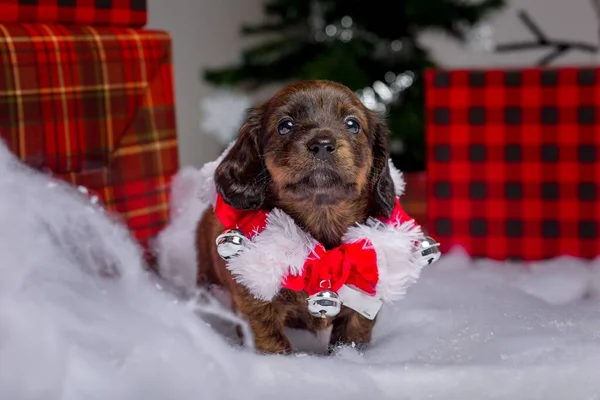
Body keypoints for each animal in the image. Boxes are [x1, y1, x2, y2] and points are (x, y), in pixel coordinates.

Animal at [195, 79, 396, 354]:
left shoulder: (361, 306)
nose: (322, 144)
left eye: (352, 124)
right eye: (285, 125)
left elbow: (352, 335)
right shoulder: (255, 304)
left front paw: (349, 357)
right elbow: (271, 340)